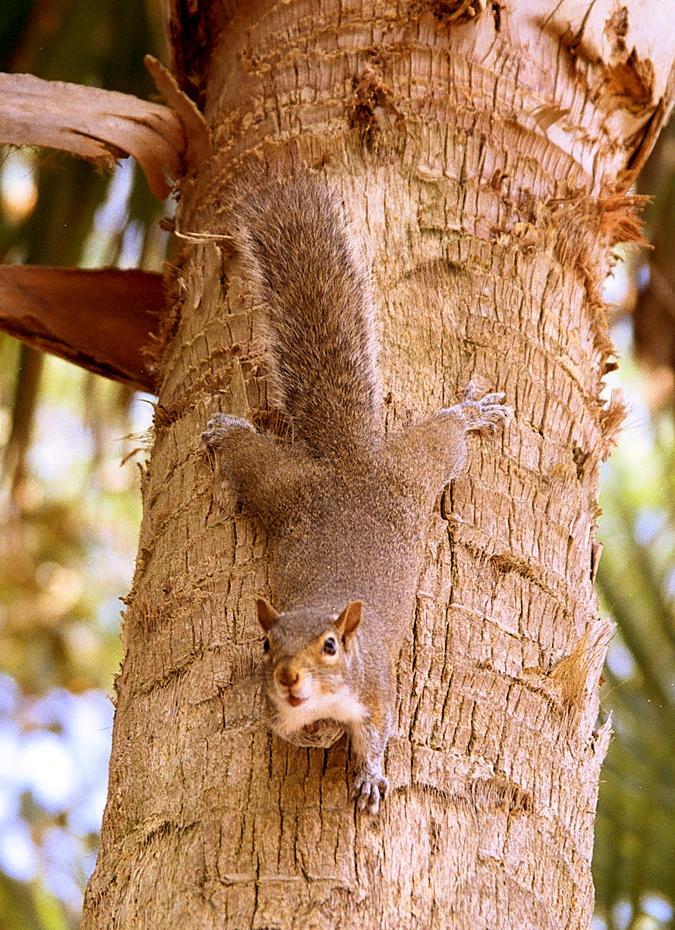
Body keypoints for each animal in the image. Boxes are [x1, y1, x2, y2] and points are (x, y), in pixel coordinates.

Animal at [201, 174, 511, 814]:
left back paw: (471, 413)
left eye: (329, 647)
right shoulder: (270, 709)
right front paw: (318, 736)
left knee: (445, 436)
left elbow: (378, 733)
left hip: (414, 466)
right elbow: (290, 730)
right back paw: (226, 429)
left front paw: (368, 775)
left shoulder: (376, 690)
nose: (289, 679)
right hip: (280, 485)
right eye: (266, 646)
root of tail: (347, 457)